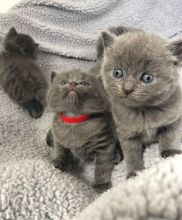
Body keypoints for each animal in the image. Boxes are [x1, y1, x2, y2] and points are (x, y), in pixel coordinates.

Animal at [99, 27, 182, 179]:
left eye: (147, 77)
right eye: (117, 73)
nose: (127, 88)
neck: (144, 112)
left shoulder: (174, 119)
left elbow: (170, 136)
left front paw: (170, 153)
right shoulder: (125, 132)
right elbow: (131, 153)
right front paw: (134, 172)